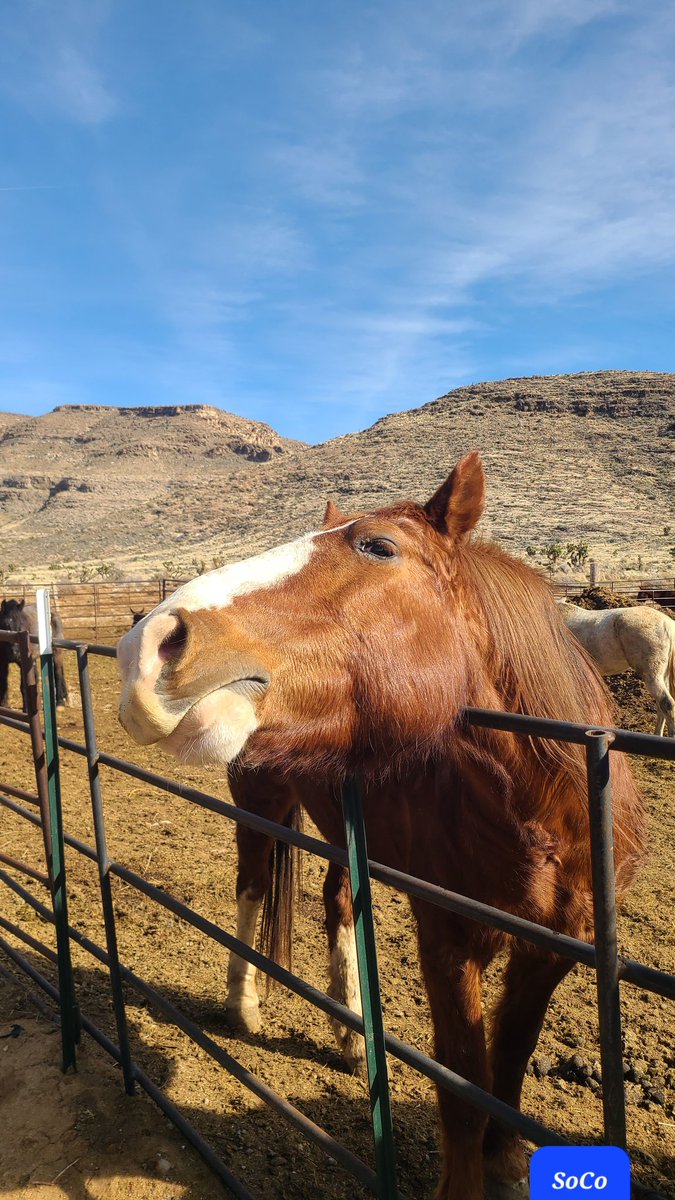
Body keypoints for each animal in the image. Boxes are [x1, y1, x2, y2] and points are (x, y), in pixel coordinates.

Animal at [116, 453, 645, 1200]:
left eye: (378, 547)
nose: (149, 645)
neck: (546, 811)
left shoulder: (556, 947)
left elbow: (510, 1061)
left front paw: (506, 1162)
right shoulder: (446, 938)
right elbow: (463, 1085)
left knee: (336, 901)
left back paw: (349, 1028)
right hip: (257, 800)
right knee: (252, 885)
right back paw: (243, 1003)